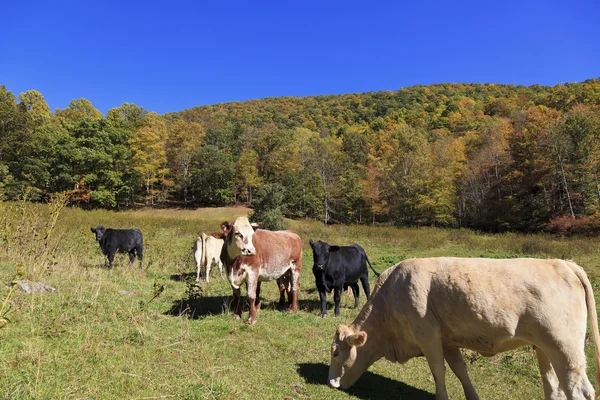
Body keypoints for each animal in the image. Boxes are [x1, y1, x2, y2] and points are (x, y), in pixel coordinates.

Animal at [328, 258, 600, 398]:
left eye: (336, 352)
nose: (332, 382)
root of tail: (564, 263)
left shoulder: (427, 335)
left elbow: (438, 371)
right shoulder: (447, 340)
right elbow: (460, 370)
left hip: (565, 347)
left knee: (579, 389)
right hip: (544, 347)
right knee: (553, 386)